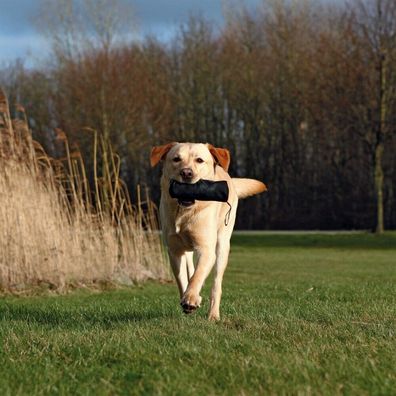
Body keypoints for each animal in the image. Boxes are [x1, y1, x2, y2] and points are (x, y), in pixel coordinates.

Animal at [150, 141, 268, 320]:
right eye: (176, 159)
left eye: (199, 160)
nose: (186, 173)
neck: (186, 212)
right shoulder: (174, 250)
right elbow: (182, 279)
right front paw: (188, 298)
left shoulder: (206, 250)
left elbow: (198, 275)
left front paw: (191, 298)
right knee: (191, 268)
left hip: (222, 246)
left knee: (216, 284)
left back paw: (213, 315)